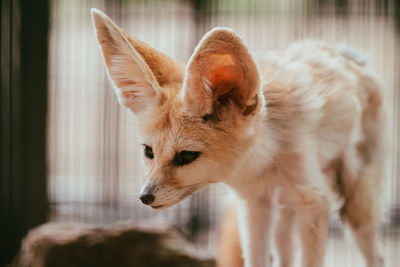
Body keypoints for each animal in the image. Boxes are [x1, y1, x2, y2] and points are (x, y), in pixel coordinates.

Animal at [92, 8, 386, 267]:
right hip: (283, 210)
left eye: (186, 156)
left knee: (377, 255)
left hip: (356, 207)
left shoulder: (314, 201)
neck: (263, 162)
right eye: (148, 152)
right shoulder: (253, 202)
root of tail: (342, 51)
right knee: (284, 251)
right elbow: (256, 259)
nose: (145, 197)